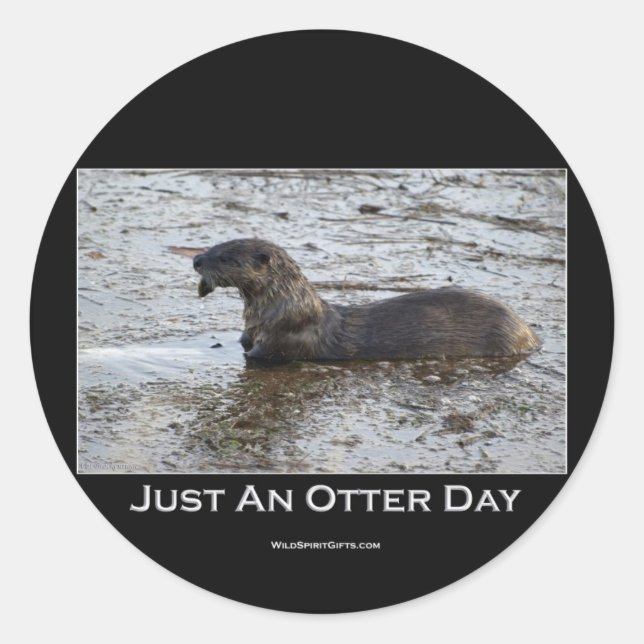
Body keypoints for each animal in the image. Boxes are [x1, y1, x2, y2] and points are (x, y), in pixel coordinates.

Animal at [193, 239, 541, 362]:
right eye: (214, 244)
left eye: (225, 257)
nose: (196, 259)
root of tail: (529, 333)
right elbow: (241, 341)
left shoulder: (286, 339)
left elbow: (259, 356)